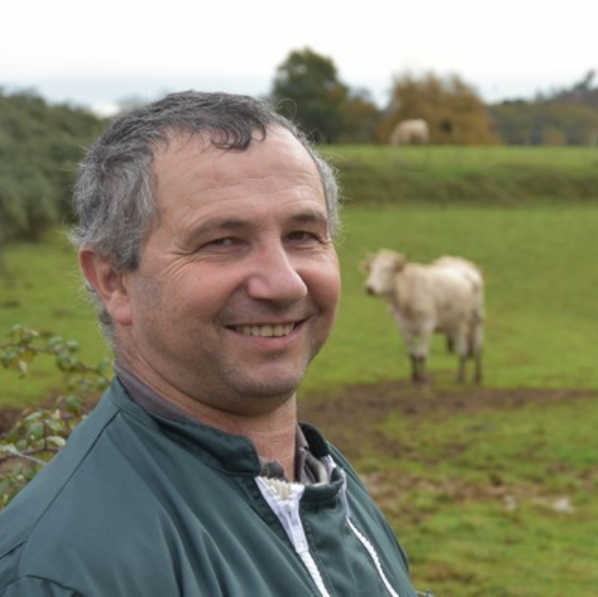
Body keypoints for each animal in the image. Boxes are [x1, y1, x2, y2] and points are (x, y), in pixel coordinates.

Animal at [360, 248, 488, 382]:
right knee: (462, 349)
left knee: (478, 347)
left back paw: (478, 376)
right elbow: (412, 354)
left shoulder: (427, 325)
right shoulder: (402, 327)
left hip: (477, 317)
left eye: (388, 269)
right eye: (371, 268)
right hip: (456, 322)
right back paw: (460, 377)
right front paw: (415, 377)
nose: (369, 288)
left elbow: (421, 355)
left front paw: (424, 379)